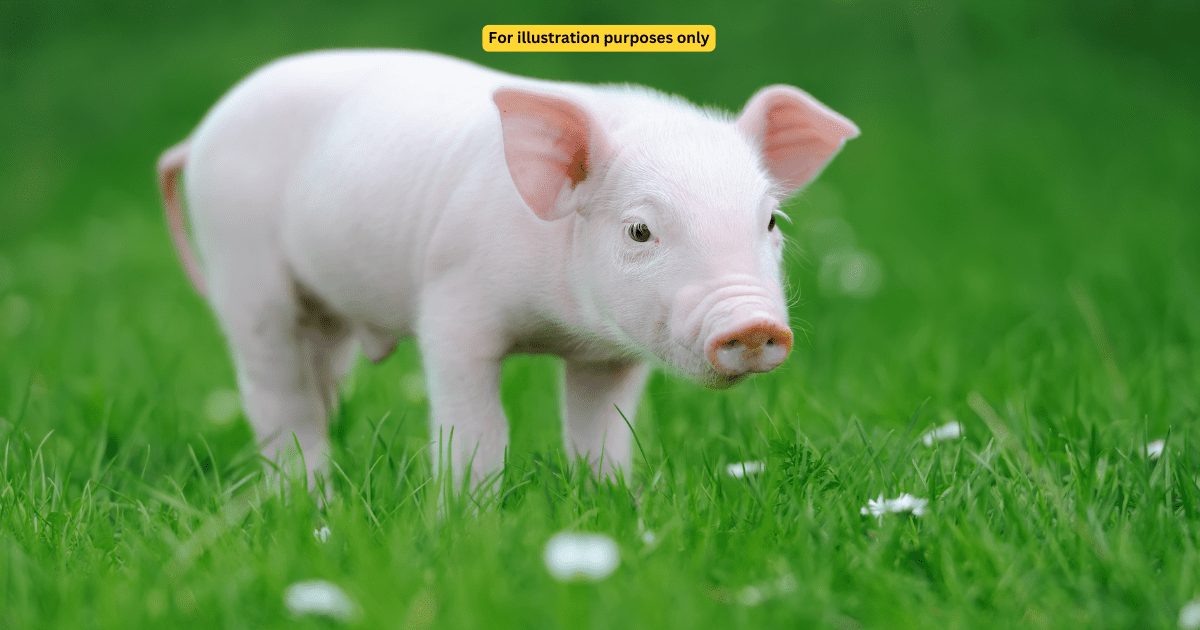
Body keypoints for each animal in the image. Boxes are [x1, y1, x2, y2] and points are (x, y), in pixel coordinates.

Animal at [156, 50, 858, 486]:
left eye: (771, 222)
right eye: (640, 230)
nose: (754, 324)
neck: (558, 328)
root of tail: (201, 134)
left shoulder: (610, 355)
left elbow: (601, 434)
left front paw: (612, 507)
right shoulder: (452, 305)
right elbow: (477, 431)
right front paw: (466, 522)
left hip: (323, 310)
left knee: (319, 380)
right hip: (241, 264)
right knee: (275, 395)